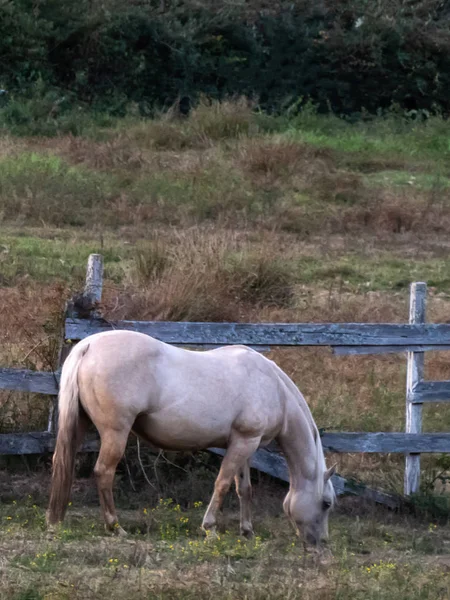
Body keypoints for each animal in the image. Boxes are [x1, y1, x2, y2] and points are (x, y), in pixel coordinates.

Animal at [47, 330, 336, 548]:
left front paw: (247, 531)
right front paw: (210, 528)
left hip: (80, 425)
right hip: (115, 433)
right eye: (326, 503)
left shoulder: (245, 444)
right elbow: (222, 484)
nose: (319, 543)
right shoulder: (243, 443)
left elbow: (244, 489)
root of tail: (88, 345)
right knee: (104, 472)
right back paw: (115, 526)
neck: (273, 387)